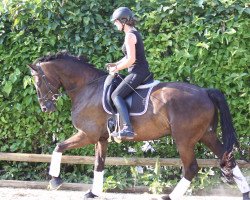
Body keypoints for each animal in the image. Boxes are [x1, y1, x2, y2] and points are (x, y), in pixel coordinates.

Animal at [28, 52, 249, 200]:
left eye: (38, 82)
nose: (45, 107)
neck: (87, 87)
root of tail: (204, 91)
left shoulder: (87, 134)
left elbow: (59, 147)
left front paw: (55, 180)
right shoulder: (101, 138)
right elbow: (99, 164)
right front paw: (93, 192)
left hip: (184, 139)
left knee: (191, 168)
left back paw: (169, 196)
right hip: (206, 134)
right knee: (229, 159)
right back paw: (245, 193)